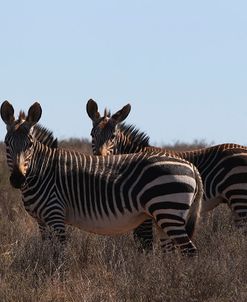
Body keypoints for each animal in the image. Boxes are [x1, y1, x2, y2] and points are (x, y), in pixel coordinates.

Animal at [0, 101, 204, 255]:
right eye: (7, 143)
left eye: (29, 145)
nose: (17, 179)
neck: (43, 171)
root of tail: (192, 167)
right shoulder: (42, 222)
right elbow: (47, 253)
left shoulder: (55, 215)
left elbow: (59, 255)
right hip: (163, 216)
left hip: (168, 210)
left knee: (189, 251)